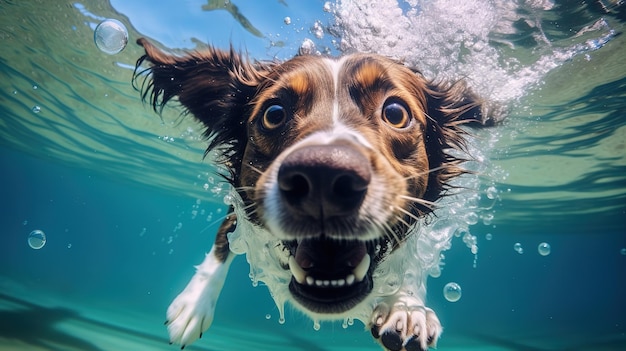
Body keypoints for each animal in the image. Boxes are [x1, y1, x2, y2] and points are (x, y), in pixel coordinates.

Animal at [134, 37, 494, 351]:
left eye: (395, 113)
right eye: (274, 113)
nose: (324, 177)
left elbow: (412, 260)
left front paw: (406, 307)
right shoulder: (240, 207)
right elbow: (225, 239)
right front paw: (194, 303)